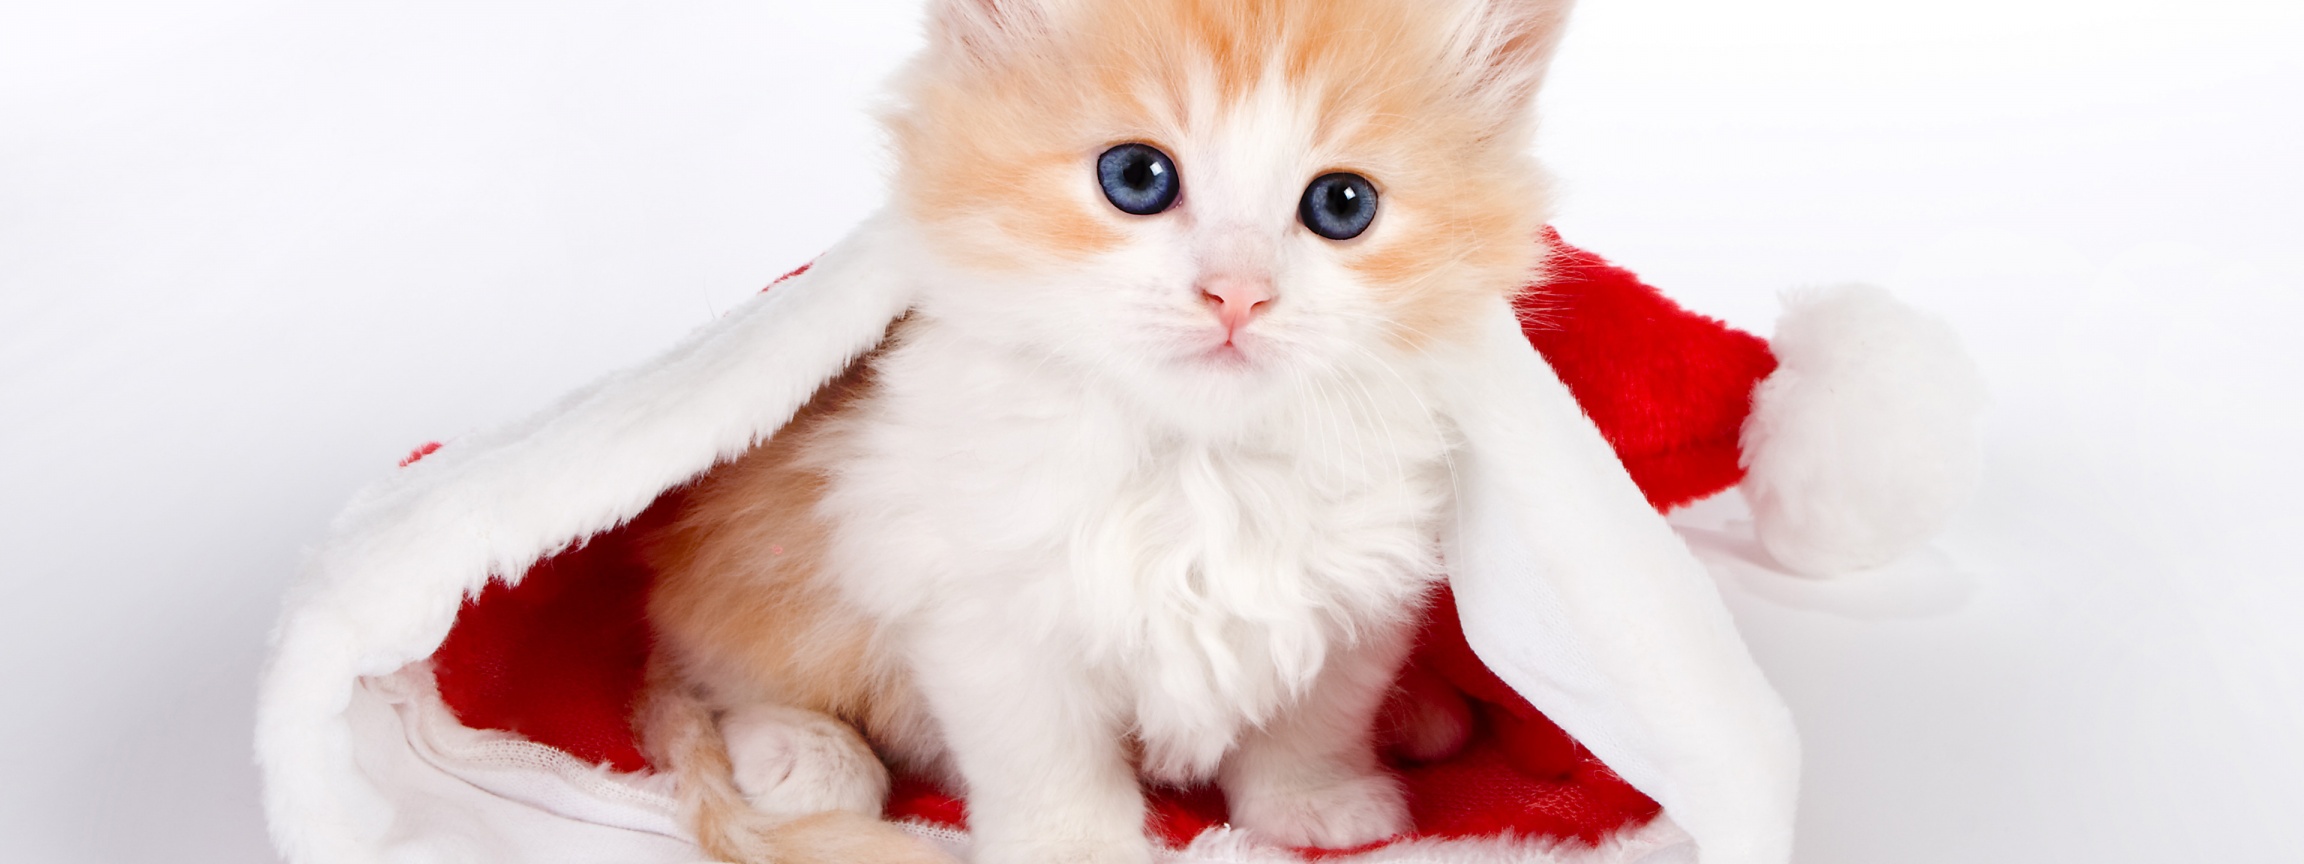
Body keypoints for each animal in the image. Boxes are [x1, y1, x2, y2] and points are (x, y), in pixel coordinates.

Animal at [640, 1, 1575, 864]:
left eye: (1343, 204)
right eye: (1136, 177)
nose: (1238, 293)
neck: (1204, 468)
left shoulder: (1357, 595)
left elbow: (1314, 714)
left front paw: (1315, 799)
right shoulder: (975, 597)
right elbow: (1048, 759)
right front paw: (1075, 846)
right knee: (721, 676)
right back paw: (805, 753)